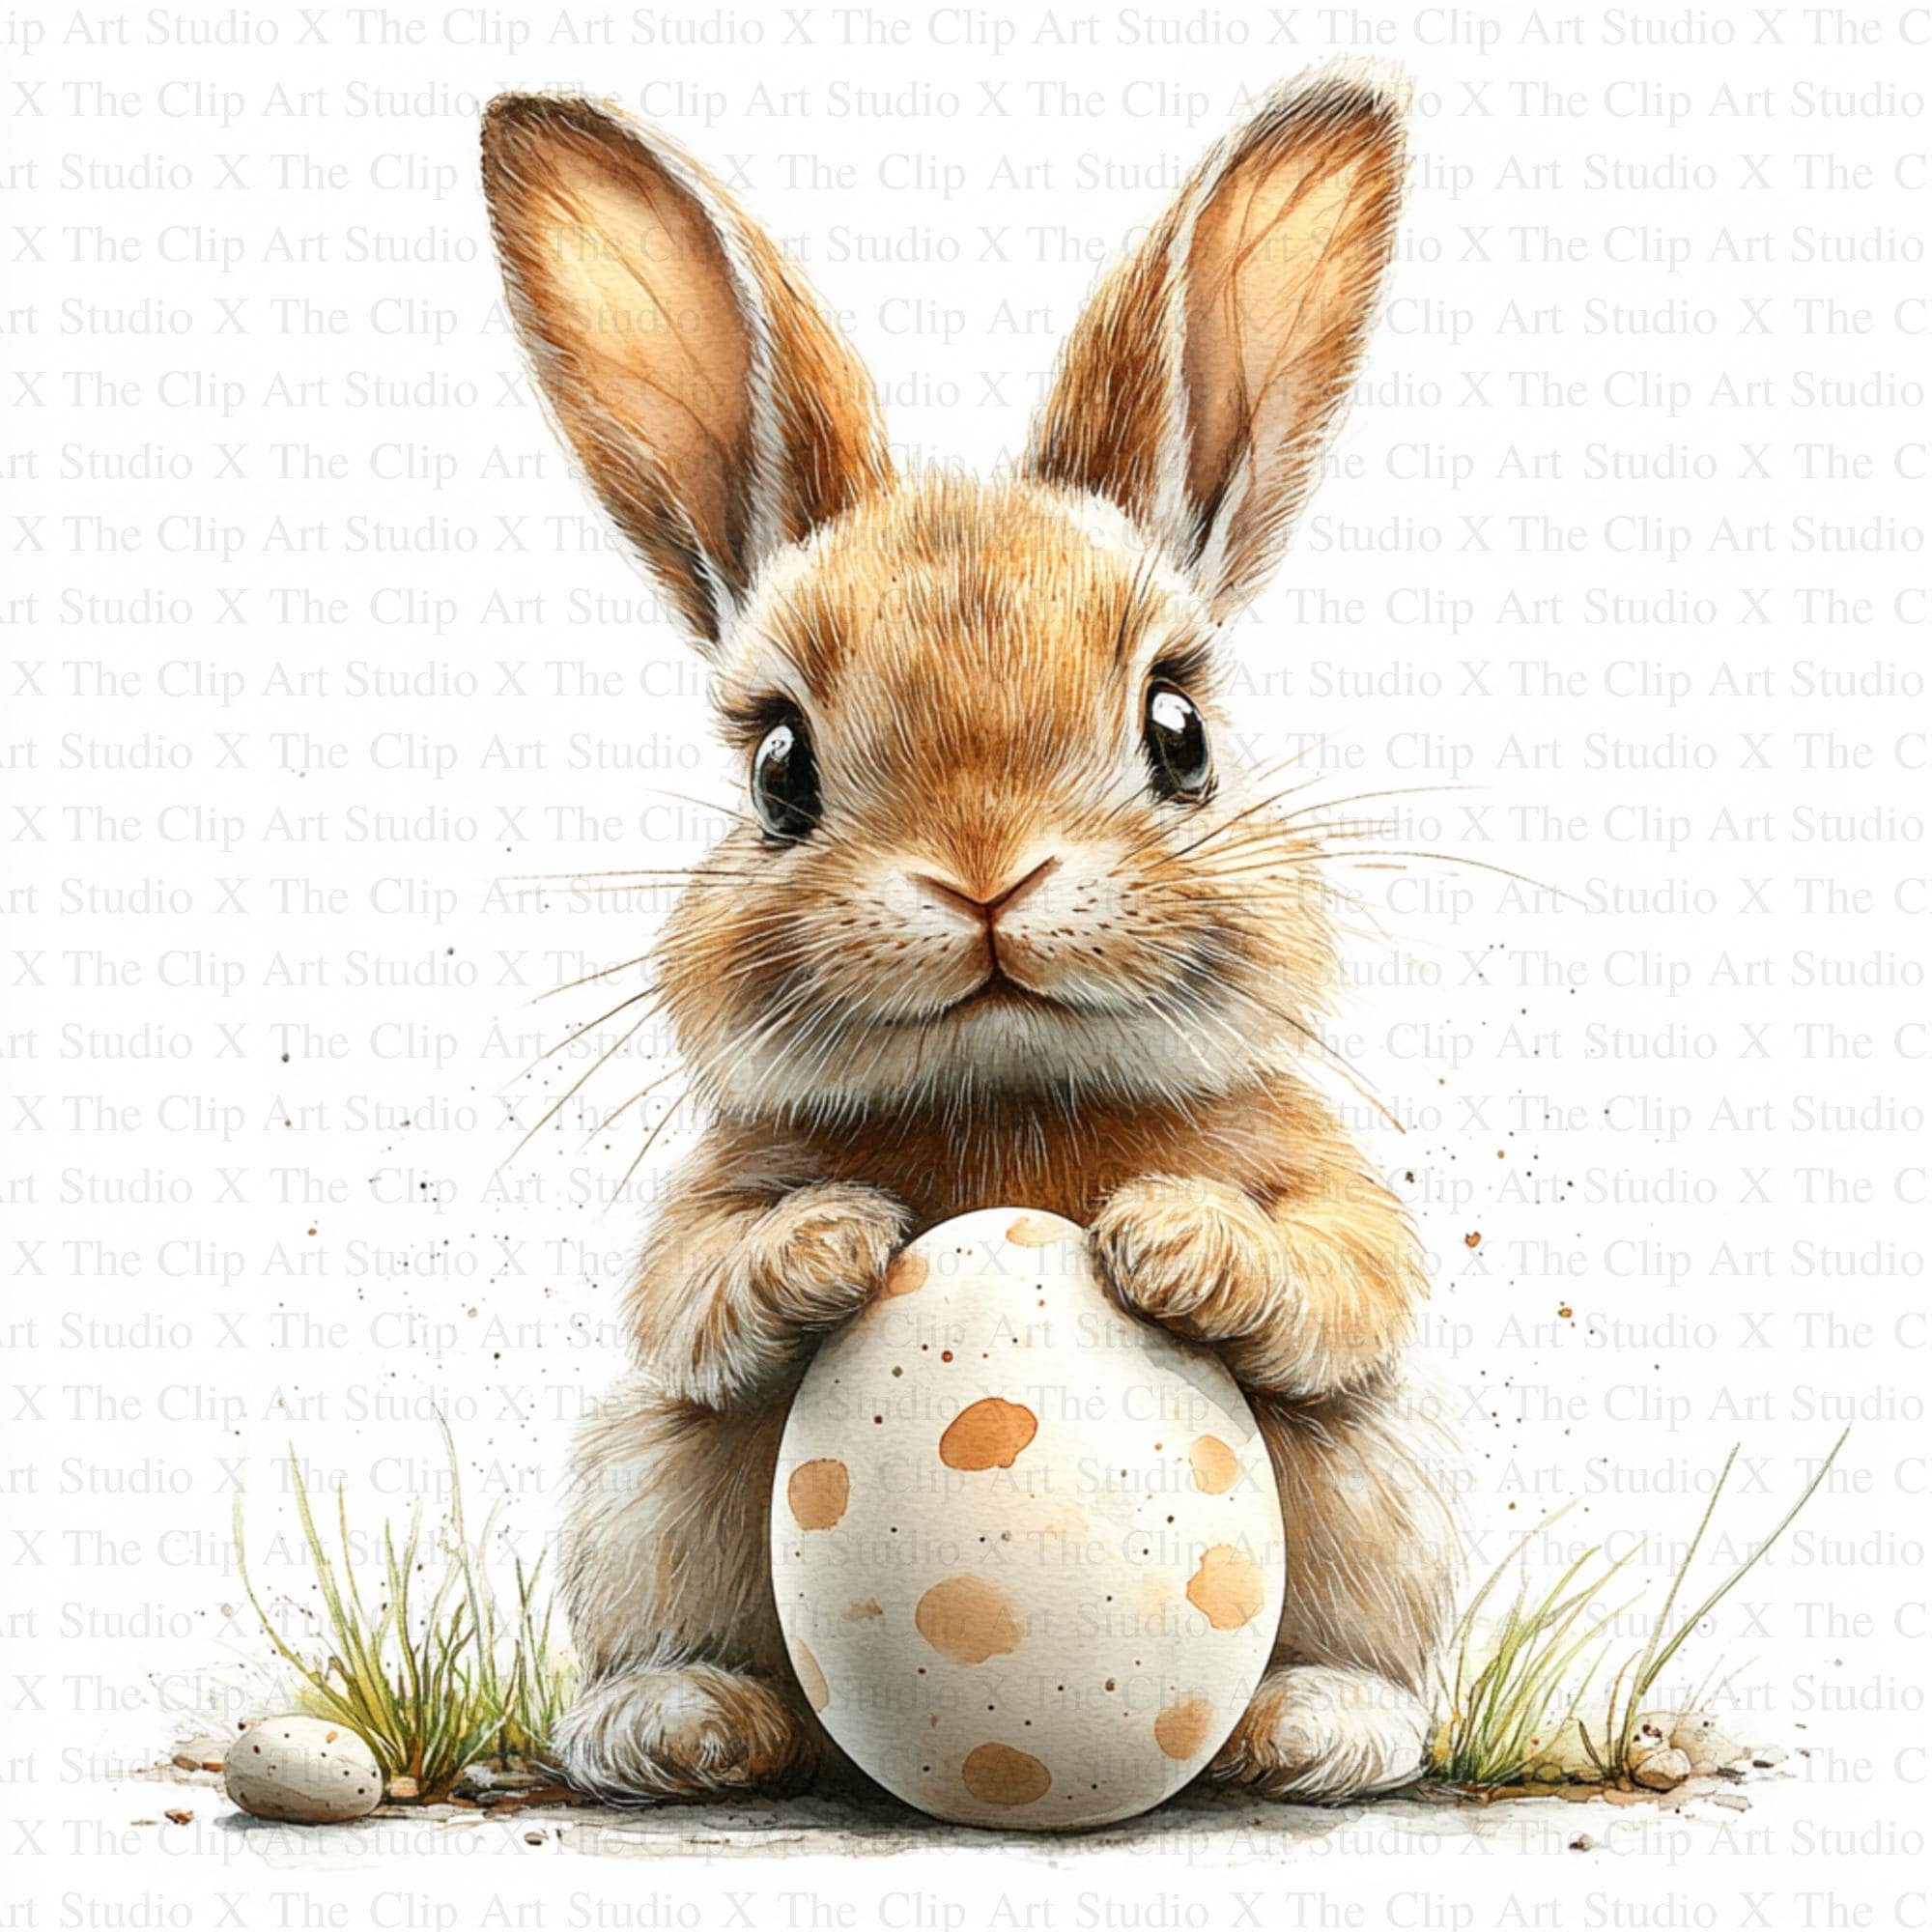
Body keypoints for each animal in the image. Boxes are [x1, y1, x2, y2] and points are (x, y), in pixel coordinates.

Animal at [481, 58, 1458, 1809]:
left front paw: (1172, 1244)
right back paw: (675, 1725)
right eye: (779, 768)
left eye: (1180, 730)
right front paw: (834, 1245)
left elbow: (1343, 1274)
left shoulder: (1334, 1192)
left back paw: (1317, 1728)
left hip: (1383, 1486)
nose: (986, 876)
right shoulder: (698, 1213)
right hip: (636, 1486)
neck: (1008, 1094)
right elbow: (686, 1290)